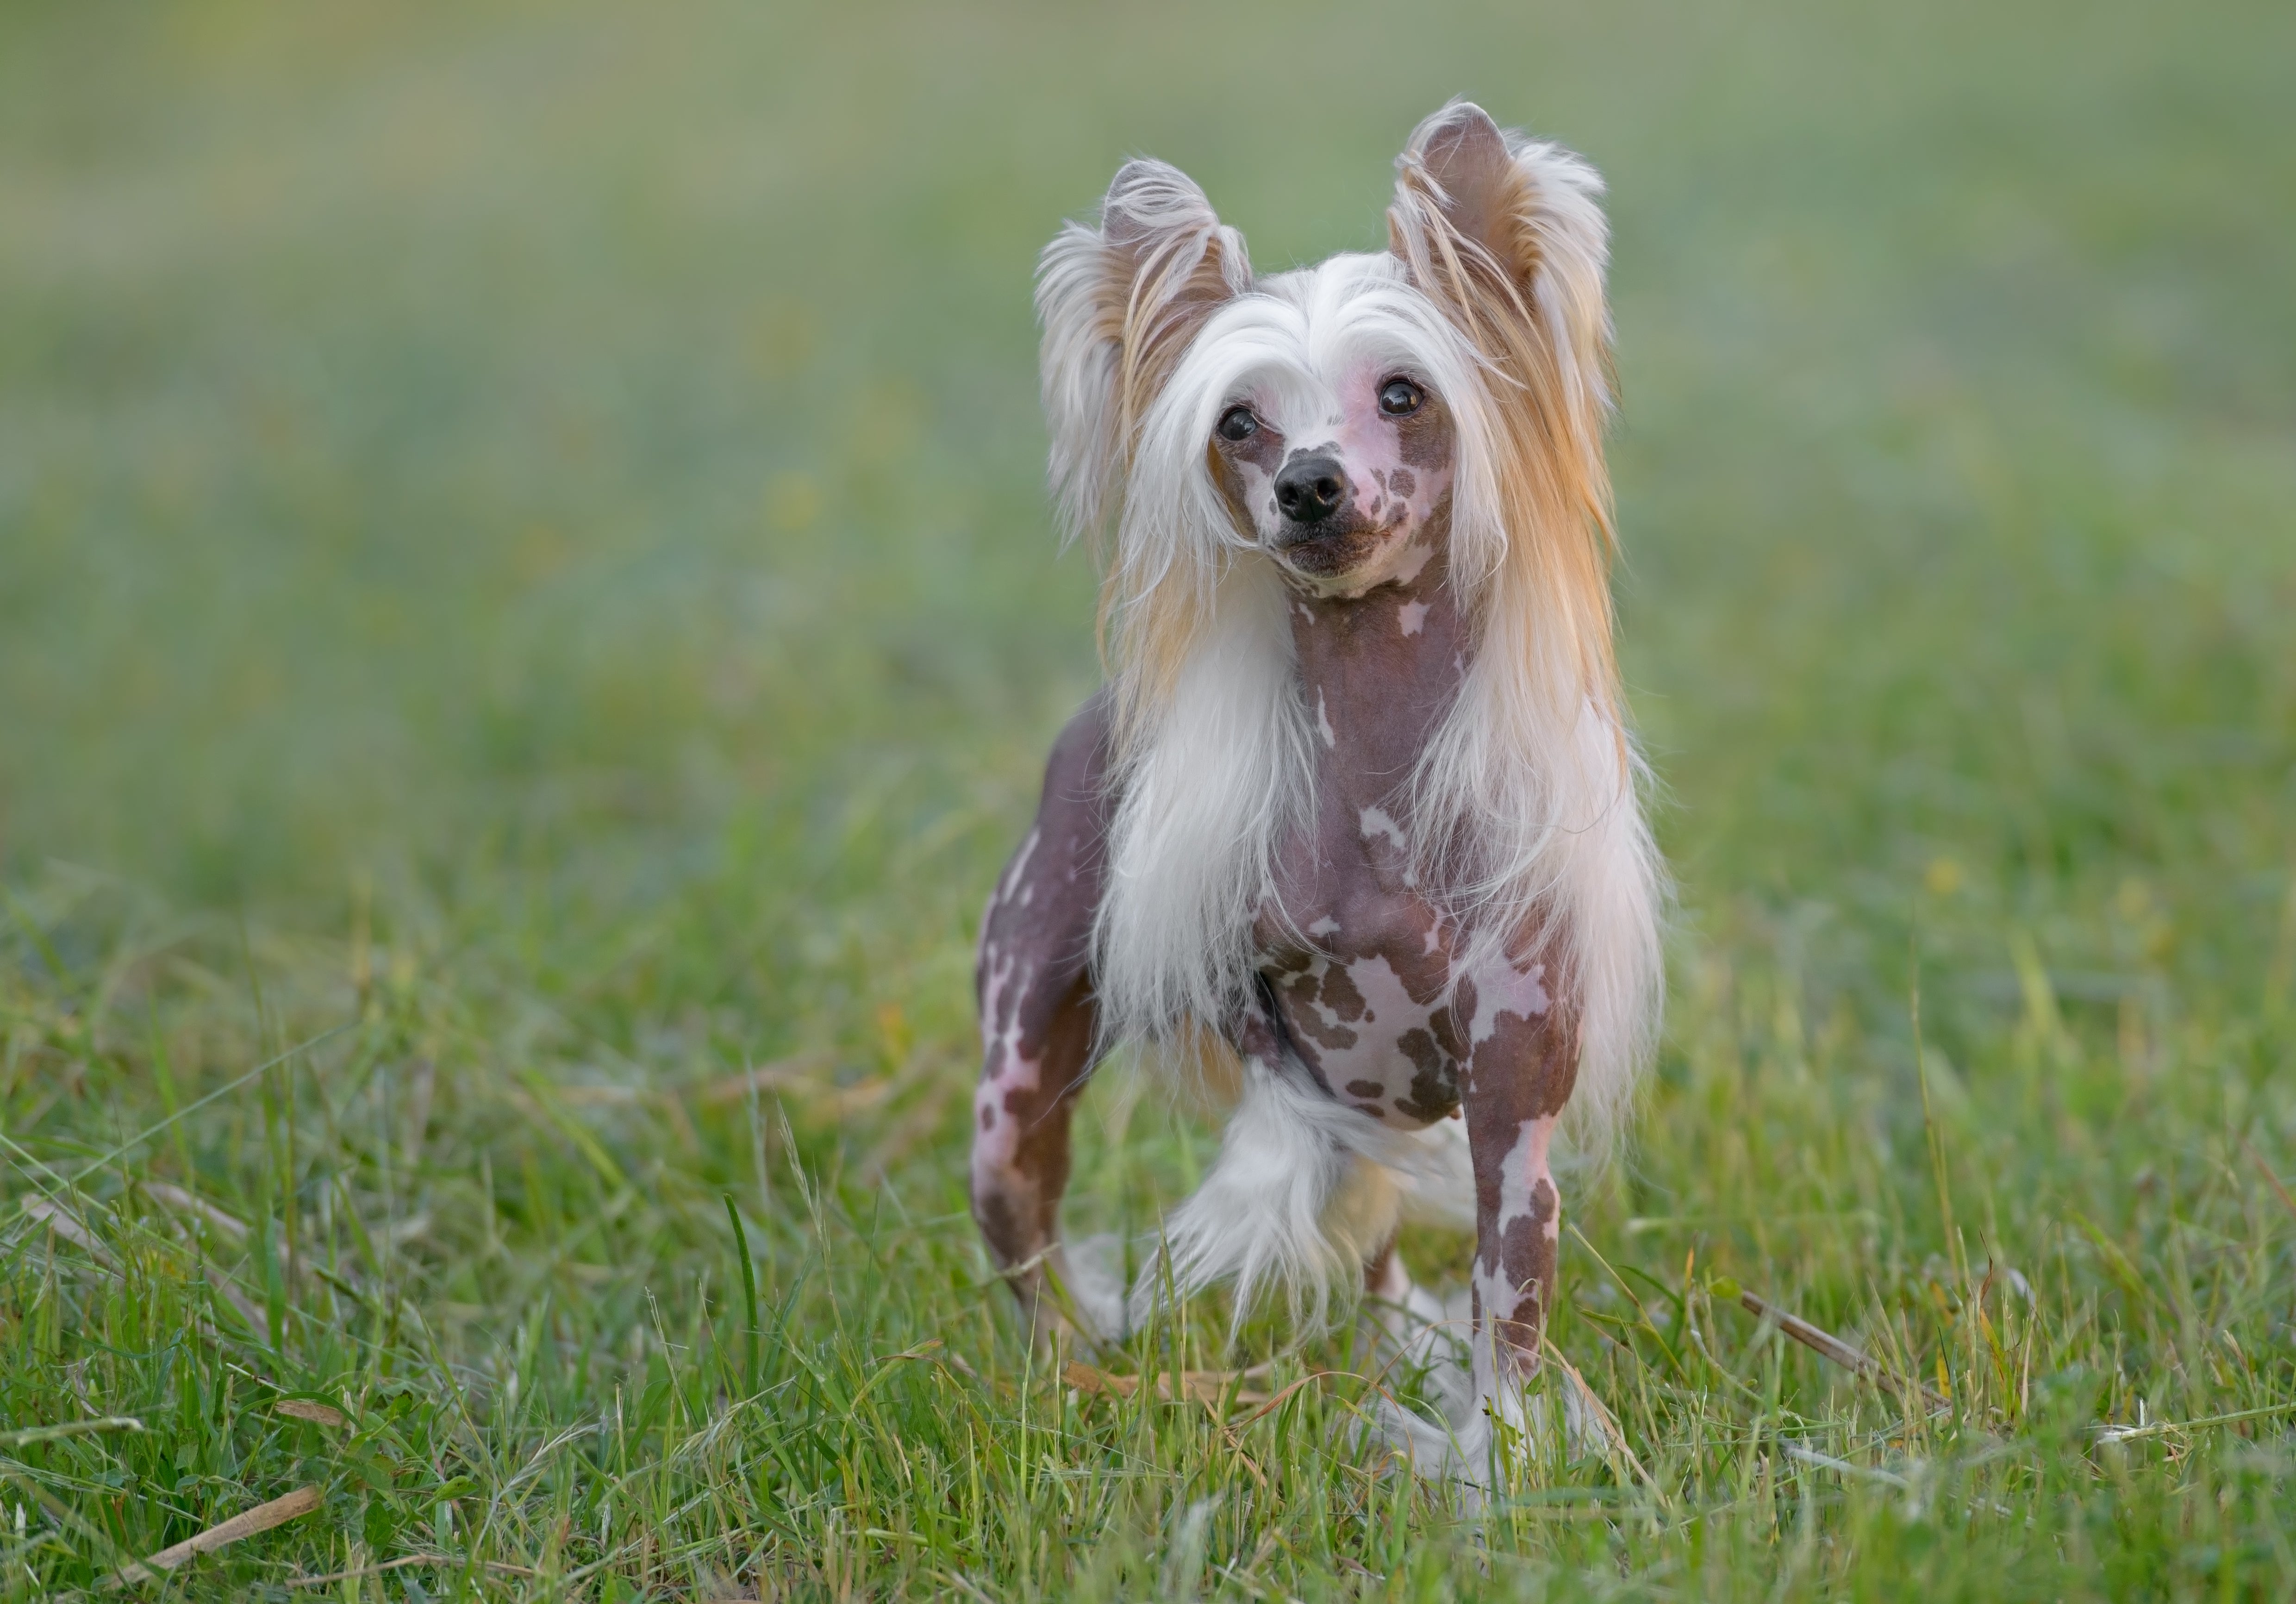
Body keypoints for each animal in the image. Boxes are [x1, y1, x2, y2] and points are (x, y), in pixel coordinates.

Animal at [973, 106, 1671, 1478]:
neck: (1374, 777)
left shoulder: (1512, 1094)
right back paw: (1068, 1381)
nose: (1308, 482)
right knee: (1026, 1241)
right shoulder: (1277, 1034)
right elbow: (1297, 1136)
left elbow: (1510, 1291)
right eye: (1236, 421)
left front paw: (1498, 1457)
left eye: (1403, 392)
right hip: (1012, 1075)